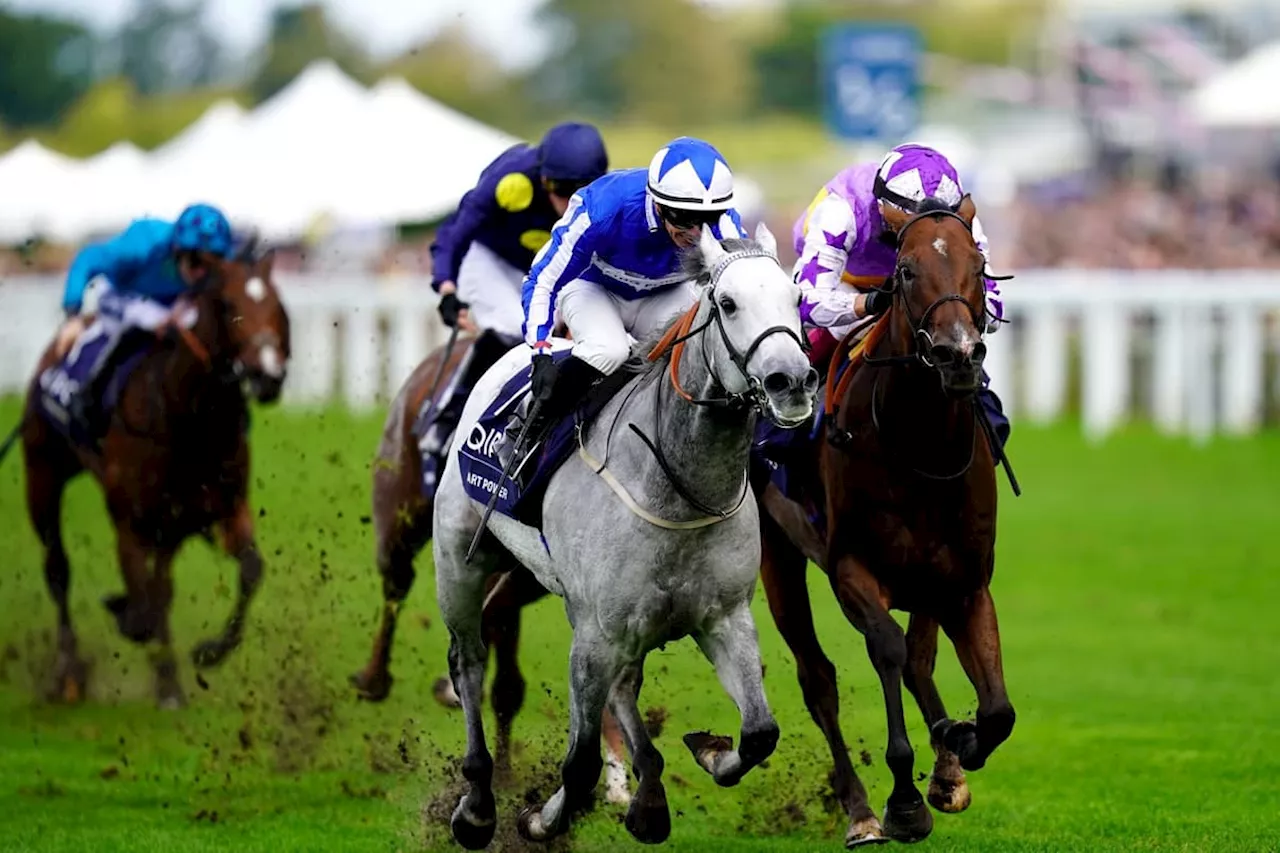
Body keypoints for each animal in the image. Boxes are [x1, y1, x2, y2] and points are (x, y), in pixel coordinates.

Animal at [1, 244, 291, 701]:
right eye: (228, 305)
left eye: (276, 305)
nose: (268, 375)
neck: (188, 420)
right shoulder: (131, 522)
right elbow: (142, 606)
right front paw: (127, 618)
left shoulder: (220, 508)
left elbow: (250, 570)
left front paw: (207, 653)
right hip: (42, 475)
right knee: (58, 570)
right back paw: (69, 673)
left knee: (160, 587)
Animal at [430, 224, 814, 845]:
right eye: (728, 303)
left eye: (795, 297)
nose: (793, 382)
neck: (676, 487)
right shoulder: (596, 636)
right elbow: (580, 761)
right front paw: (540, 820)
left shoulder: (724, 616)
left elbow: (759, 732)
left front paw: (708, 750)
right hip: (460, 560)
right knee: (467, 662)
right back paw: (478, 805)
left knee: (625, 687)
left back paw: (650, 796)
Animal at [752, 192, 1013, 845]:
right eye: (907, 271)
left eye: (980, 267)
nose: (957, 354)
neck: (922, 449)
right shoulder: (852, 571)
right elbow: (887, 650)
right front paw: (903, 802)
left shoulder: (965, 582)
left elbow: (996, 710)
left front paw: (957, 746)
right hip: (776, 554)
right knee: (819, 679)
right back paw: (862, 811)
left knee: (921, 662)